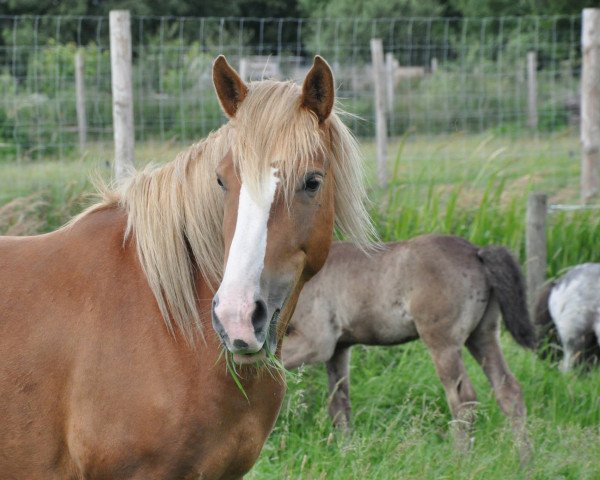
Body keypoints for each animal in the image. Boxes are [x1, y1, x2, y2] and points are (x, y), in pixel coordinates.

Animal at [284, 235, 536, 462]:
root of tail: (476, 251)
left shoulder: (317, 342)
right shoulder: (338, 349)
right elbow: (339, 405)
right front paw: (347, 455)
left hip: (443, 344)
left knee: (463, 399)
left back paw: (459, 462)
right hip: (482, 337)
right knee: (509, 391)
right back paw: (526, 463)